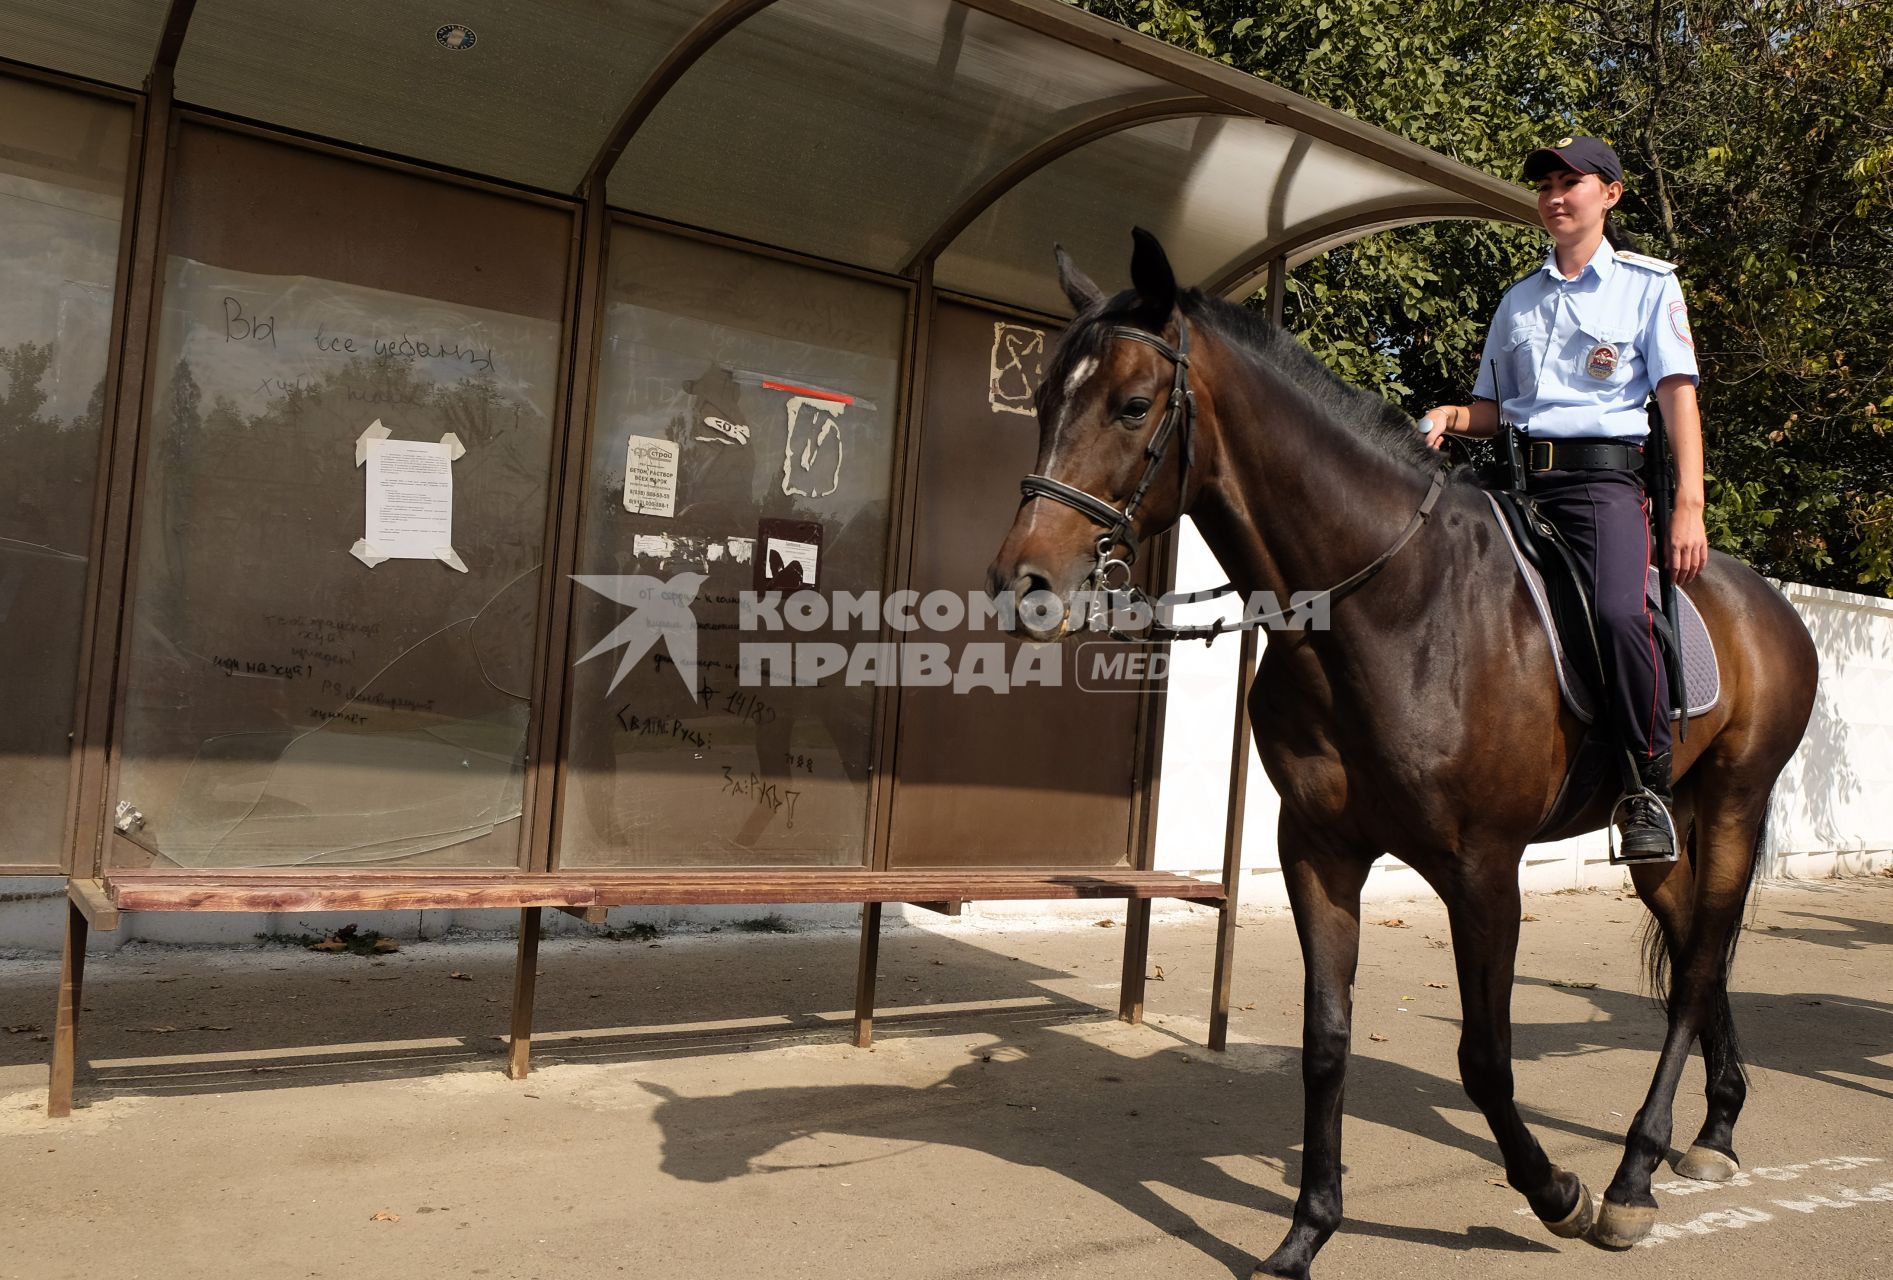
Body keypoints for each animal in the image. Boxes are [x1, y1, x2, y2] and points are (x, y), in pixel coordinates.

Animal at [991, 232, 1817, 1280]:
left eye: (1132, 405)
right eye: (1043, 399)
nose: (1022, 583)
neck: (1388, 605)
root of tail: (1764, 601)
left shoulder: (1482, 871)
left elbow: (1484, 1057)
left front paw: (1555, 1192)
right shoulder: (1318, 852)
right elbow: (1325, 1040)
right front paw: (1305, 1231)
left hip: (1738, 802)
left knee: (1700, 962)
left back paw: (1632, 1177)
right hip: (1665, 833)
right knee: (1692, 955)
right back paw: (1713, 1129)